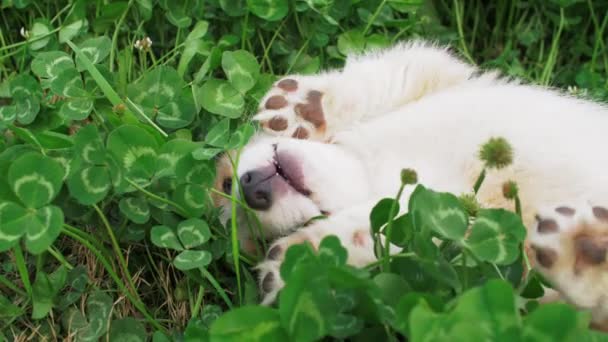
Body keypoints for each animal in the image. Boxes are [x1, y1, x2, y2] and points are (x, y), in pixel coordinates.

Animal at [213, 41, 608, 328]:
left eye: (227, 180)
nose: (251, 189)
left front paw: (305, 107)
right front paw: (299, 261)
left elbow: (384, 77)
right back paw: (582, 246)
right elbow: (380, 235)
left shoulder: (438, 76)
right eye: (254, 238)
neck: (370, 167)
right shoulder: (446, 236)